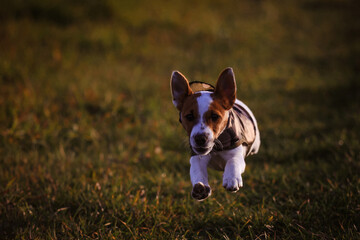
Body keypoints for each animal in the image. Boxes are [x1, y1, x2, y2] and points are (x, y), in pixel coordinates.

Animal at [170, 67, 260, 201]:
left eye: (214, 116)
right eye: (189, 116)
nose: (200, 138)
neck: (216, 145)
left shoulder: (236, 153)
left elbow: (233, 162)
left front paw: (231, 178)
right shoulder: (197, 157)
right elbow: (197, 170)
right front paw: (200, 188)